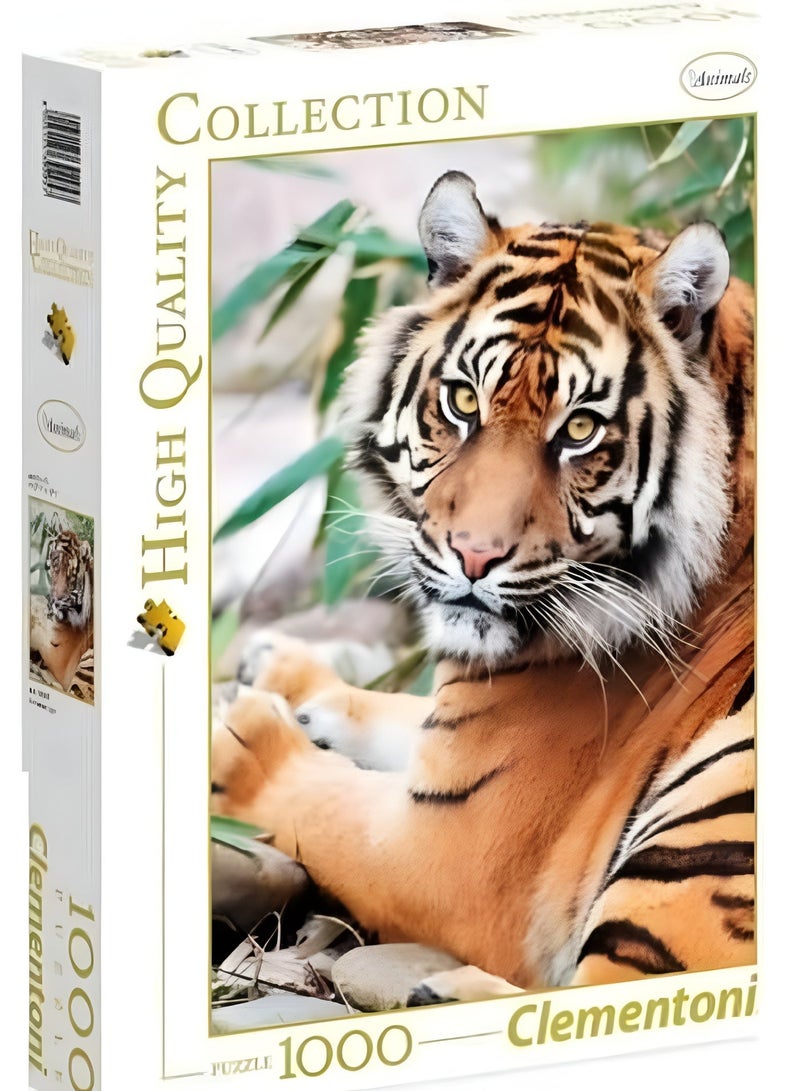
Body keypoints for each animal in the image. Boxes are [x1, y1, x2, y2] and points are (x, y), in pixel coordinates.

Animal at [211, 171, 754, 1003]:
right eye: (463, 402)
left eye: (581, 430)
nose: (474, 556)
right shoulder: (452, 749)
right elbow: (397, 712)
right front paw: (281, 670)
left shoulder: (446, 846)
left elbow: (323, 801)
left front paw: (244, 737)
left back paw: (445, 989)